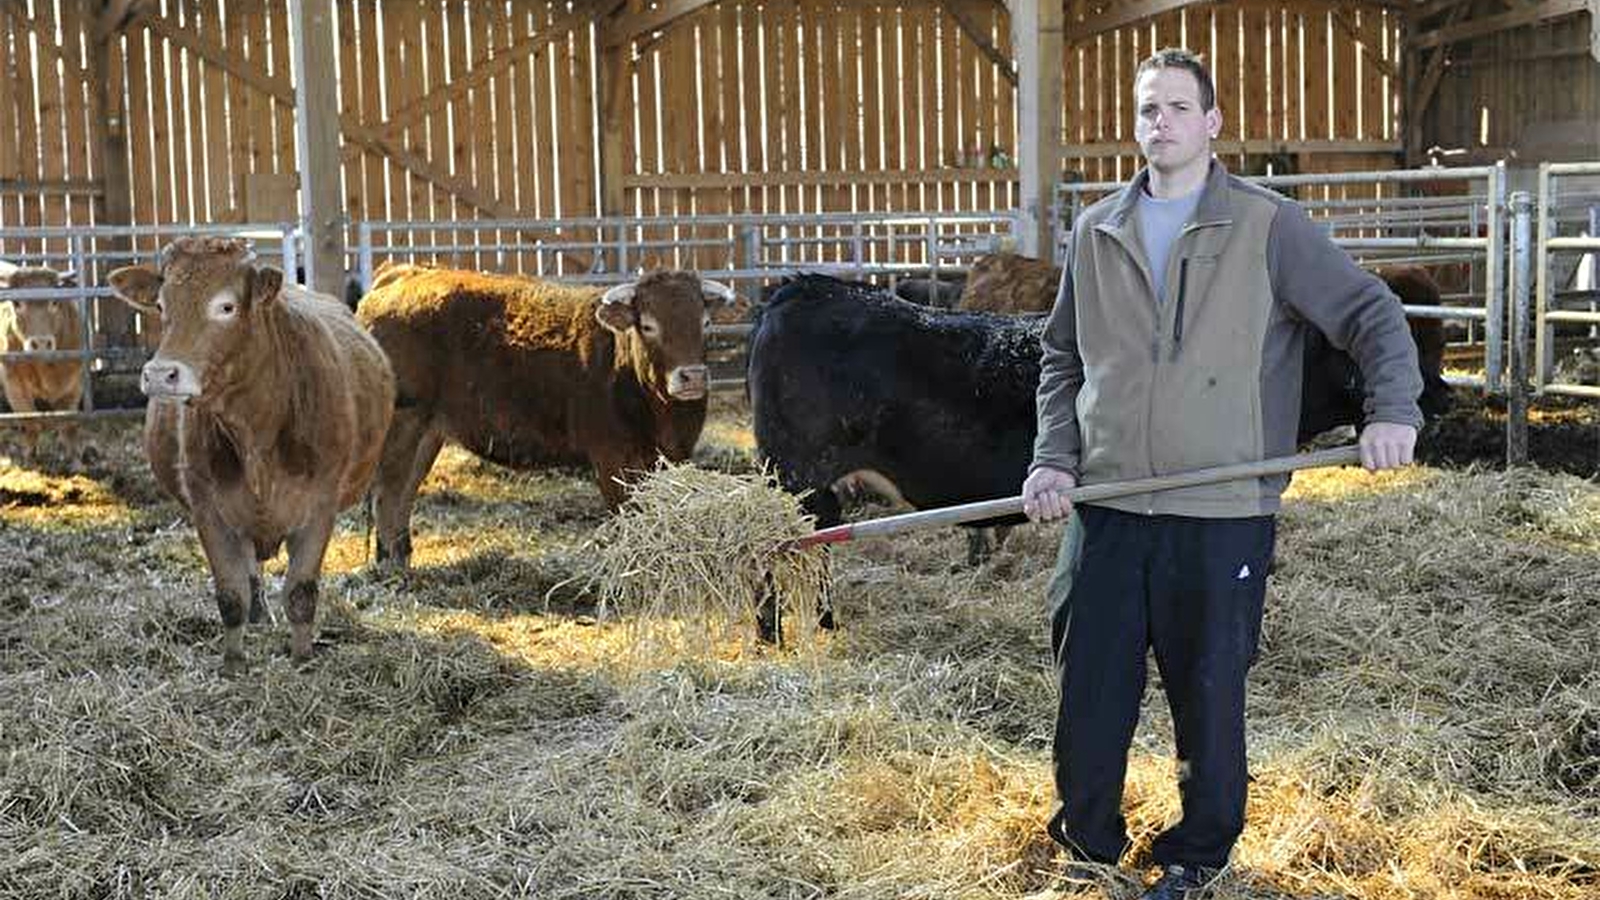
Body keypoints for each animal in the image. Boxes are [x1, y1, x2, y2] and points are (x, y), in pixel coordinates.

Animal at [108, 238, 393, 672]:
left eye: (226, 306)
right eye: (160, 305)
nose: (160, 375)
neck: (255, 431)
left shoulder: (320, 507)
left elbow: (300, 591)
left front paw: (302, 658)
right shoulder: (208, 510)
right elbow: (230, 593)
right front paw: (233, 661)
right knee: (249, 573)